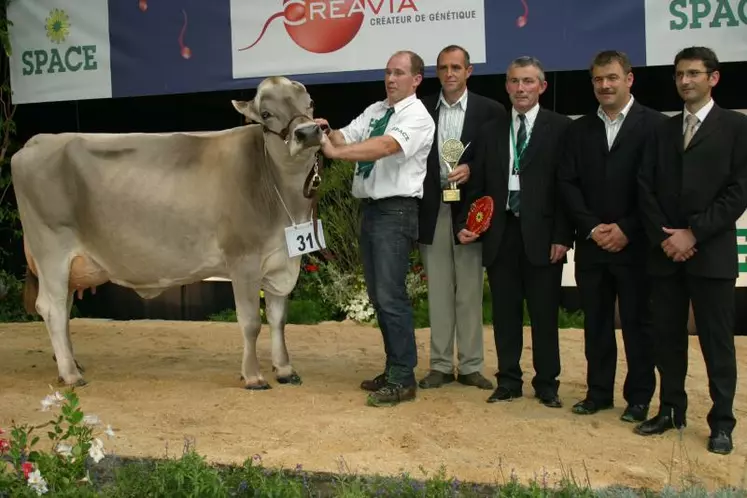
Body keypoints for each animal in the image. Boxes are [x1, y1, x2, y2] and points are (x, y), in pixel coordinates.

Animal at [10, 76, 322, 392]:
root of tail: (38, 140)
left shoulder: (280, 260)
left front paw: (285, 370)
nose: (308, 132)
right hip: (51, 251)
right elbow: (250, 322)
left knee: (64, 307)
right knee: (52, 307)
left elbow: (278, 318)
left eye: (310, 103)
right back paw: (71, 375)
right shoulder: (243, 260)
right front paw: (253, 376)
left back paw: (72, 365)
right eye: (267, 113)